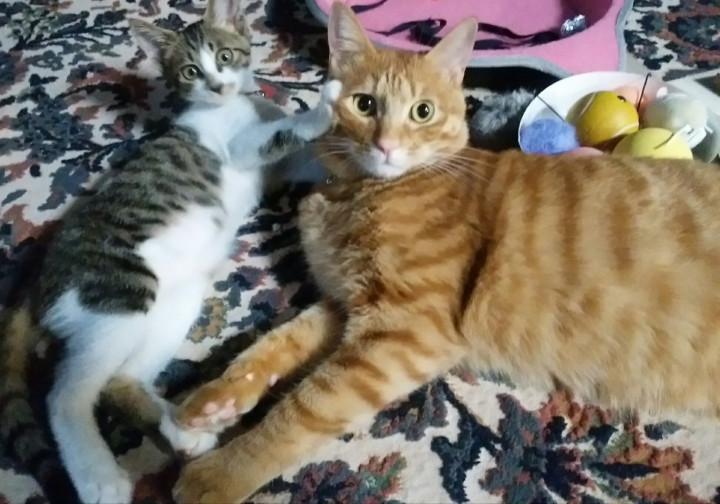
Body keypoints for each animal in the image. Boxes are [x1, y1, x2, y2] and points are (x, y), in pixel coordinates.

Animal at [0, 0, 341, 502]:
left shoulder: (281, 166)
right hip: (119, 293)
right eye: (190, 71)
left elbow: (301, 154)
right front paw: (324, 106)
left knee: (120, 381)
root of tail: (38, 271)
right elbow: (279, 132)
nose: (217, 85)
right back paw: (99, 476)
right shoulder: (237, 147)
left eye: (224, 56)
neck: (231, 105)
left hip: (175, 299)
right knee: (65, 396)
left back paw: (184, 430)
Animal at [171, 3, 720, 503]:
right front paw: (210, 404)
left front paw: (218, 474)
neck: (356, 192)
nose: (387, 145)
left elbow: (302, 410)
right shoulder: (347, 307)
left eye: (423, 112)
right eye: (364, 105)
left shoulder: (403, 331)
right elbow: (272, 344)